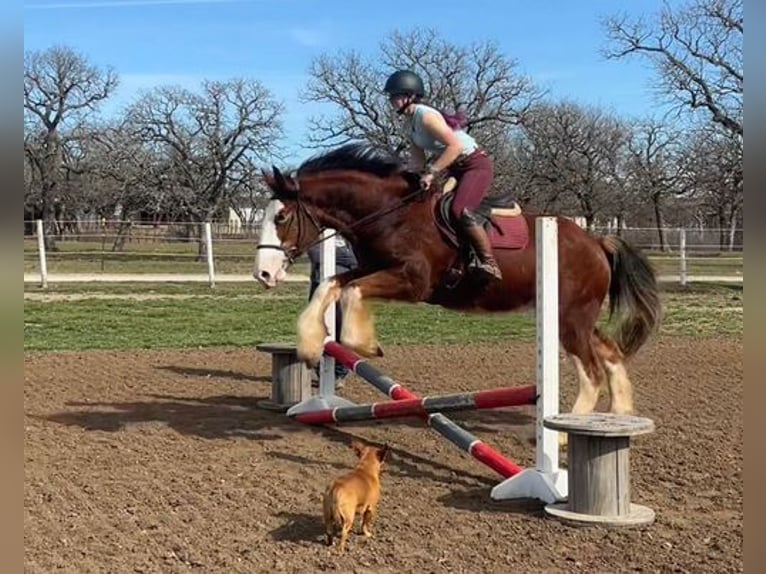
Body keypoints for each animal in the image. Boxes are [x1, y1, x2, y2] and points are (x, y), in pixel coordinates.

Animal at [255, 142, 664, 416]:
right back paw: (619, 416)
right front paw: (311, 345)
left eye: (281, 217)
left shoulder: (413, 281)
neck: (389, 213)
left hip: (569, 318)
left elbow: (352, 292)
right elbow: (332, 285)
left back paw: (565, 438)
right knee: (610, 352)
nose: (263, 273)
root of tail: (596, 242)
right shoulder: (373, 267)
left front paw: (364, 344)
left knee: (591, 372)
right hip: (576, 315)